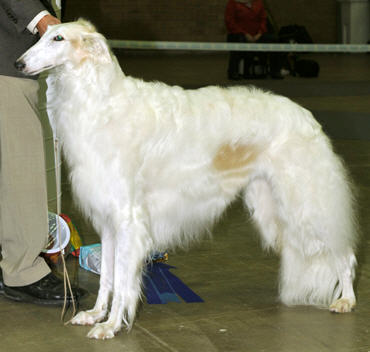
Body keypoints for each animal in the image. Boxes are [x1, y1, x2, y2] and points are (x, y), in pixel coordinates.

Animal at [16, 20, 358, 340]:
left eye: (58, 38)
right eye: (42, 36)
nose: (19, 64)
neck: (101, 102)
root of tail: (305, 116)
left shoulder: (129, 220)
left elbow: (124, 281)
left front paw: (111, 325)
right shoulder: (108, 221)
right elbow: (107, 279)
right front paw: (95, 315)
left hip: (306, 205)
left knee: (344, 252)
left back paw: (346, 300)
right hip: (272, 211)